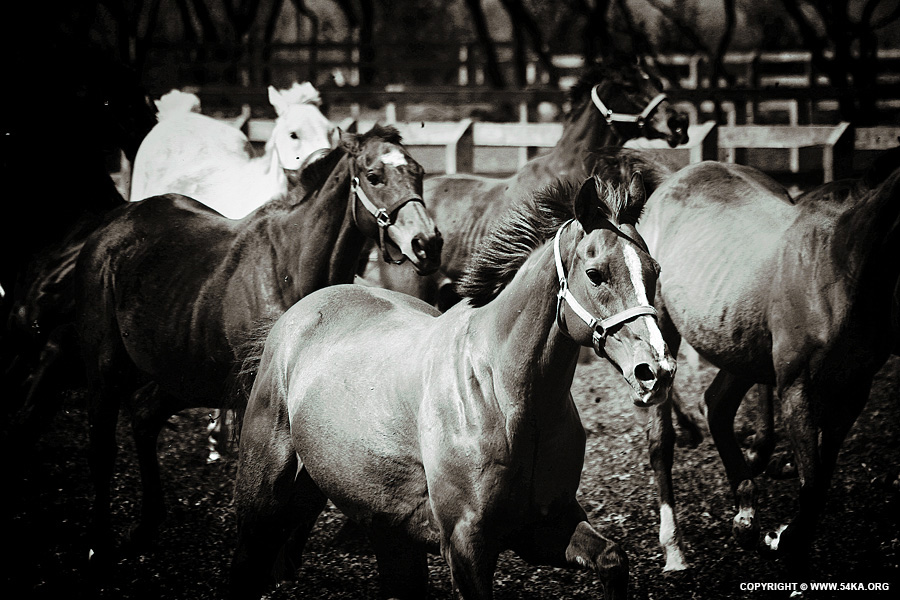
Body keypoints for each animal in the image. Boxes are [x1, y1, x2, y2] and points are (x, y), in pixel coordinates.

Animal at [74, 124, 442, 560]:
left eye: (419, 172)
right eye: (374, 176)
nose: (428, 244)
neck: (290, 268)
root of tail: (108, 230)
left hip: (184, 376)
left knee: (145, 416)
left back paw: (145, 528)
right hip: (107, 368)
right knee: (102, 448)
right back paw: (99, 541)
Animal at [232, 173, 676, 600]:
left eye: (654, 271)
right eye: (595, 274)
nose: (656, 369)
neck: (506, 399)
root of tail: (294, 317)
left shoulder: (545, 525)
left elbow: (612, 558)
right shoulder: (466, 545)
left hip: (387, 534)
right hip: (263, 505)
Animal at [636, 159, 900, 580]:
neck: (844, 265)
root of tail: (671, 178)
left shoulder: (854, 391)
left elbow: (821, 481)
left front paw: (779, 538)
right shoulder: (797, 388)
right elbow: (811, 485)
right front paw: (788, 550)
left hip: (740, 346)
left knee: (717, 405)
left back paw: (745, 516)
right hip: (664, 330)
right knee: (661, 441)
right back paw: (674, 549)